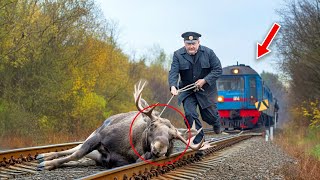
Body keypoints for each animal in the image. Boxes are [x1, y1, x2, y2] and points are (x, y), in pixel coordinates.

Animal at [36, 80, 204, 170]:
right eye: (152, 125)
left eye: (172, 138)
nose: (159, 148)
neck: (130, 146)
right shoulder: (99, 137)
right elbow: (75, 154)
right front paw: (48, 164)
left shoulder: (115, 160)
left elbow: (77, 157)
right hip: (92, 134)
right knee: (73, 149)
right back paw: (44, 155)